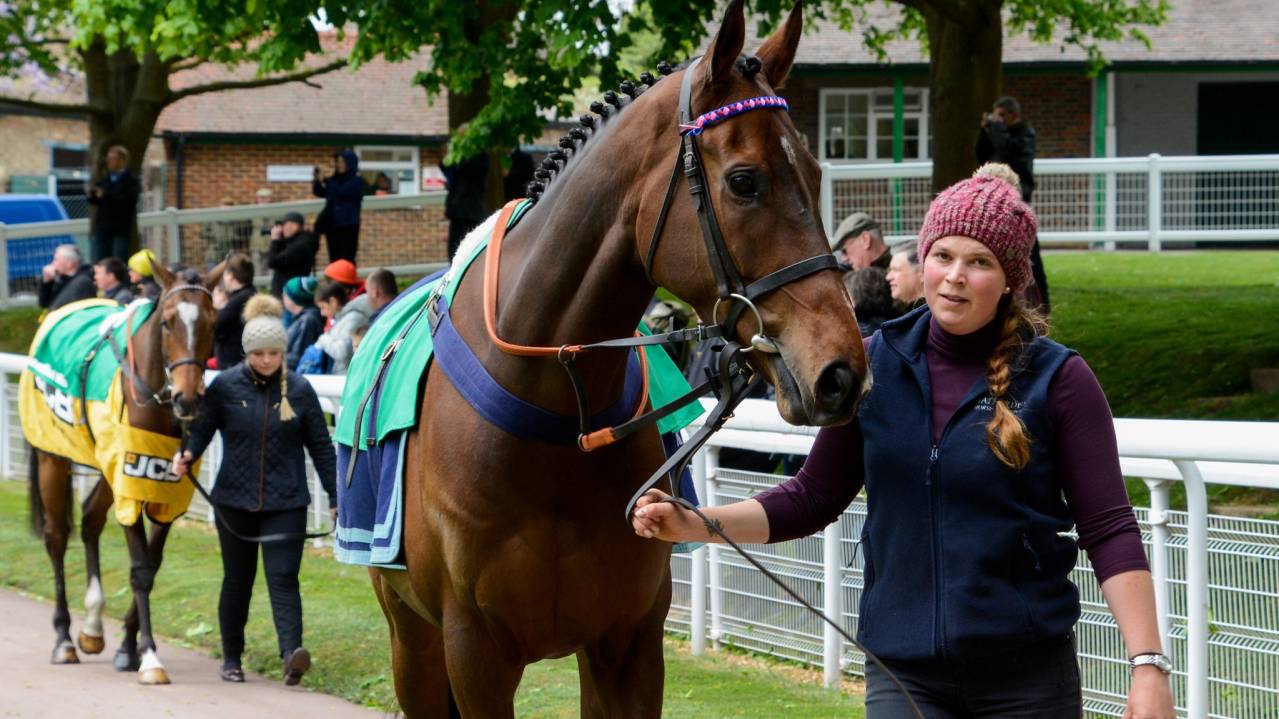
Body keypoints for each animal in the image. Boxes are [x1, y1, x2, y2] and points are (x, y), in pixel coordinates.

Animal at [28, 263, 222, 680]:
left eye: (213, 323)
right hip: (52, 457)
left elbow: (153, 562)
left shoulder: (166, 488)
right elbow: (140, 568)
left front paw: (128, 647)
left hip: (105, 466)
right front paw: (149, 656)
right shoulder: (131, 485)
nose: (187, 398)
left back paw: (91, 628)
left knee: (89, 519)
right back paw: (64, 639)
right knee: (56, 536)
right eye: (167, 322)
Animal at [370, 2, 869, 711]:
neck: (556, 422)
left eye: (819, 172)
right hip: (410, 637)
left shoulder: (627, 643)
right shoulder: (473, 651)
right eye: (745, 181)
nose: (842, 372)